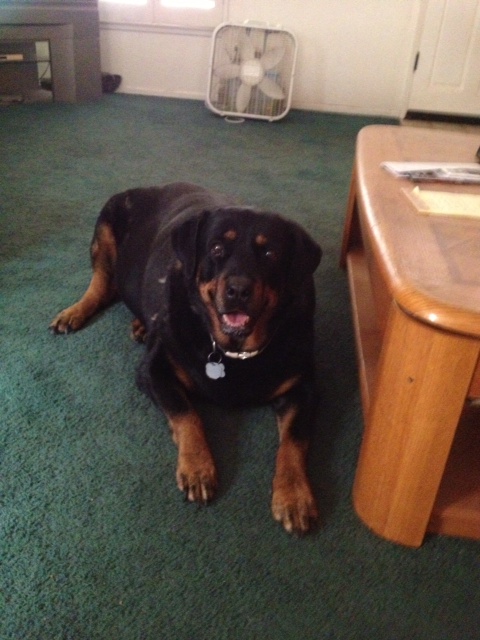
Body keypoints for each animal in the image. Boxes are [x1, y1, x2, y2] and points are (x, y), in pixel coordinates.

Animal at [50, 182, 322, 535]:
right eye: (217, 248)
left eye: (269, 254)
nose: (238, 289)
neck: (233, 351)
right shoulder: (154, 370)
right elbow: (187, 413)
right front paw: (198, 467)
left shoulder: (303, 387)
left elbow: (295, 441)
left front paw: (294, 496)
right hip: (106, 230)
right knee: (102, 283)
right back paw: (75, 313)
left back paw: (140, 324)